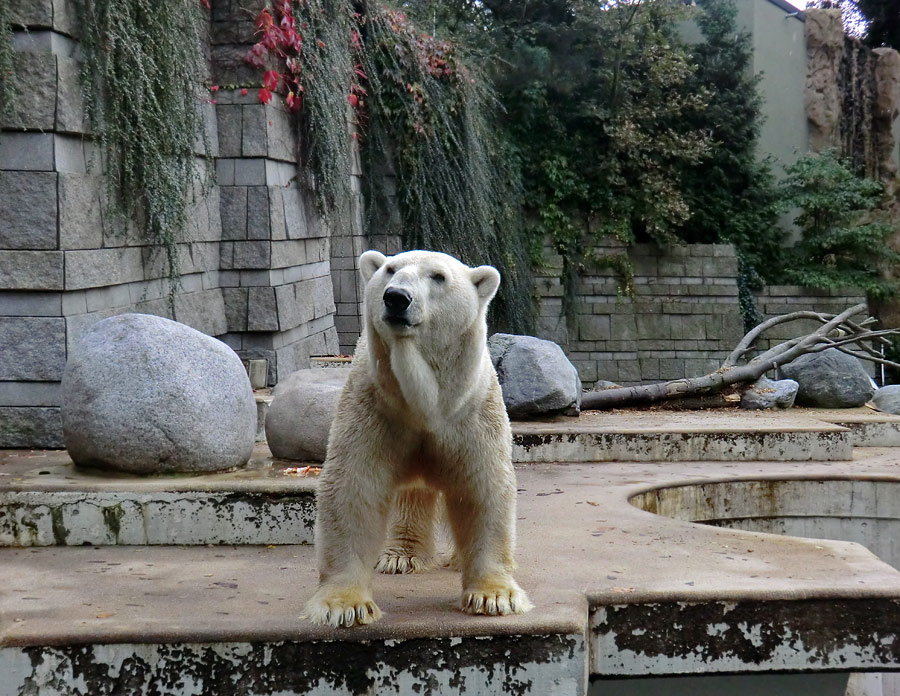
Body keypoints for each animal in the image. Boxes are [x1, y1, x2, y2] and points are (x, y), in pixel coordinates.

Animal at [308, 249, 536, 624]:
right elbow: (353, 487)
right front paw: (344, 605)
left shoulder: (470, 414)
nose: (396, 297)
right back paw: (401, 555)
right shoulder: (375, 407)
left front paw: (493, 596)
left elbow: (482, 487)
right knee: (412, 493)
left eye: (439, 277)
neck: (426, 404)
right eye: (390, 270)